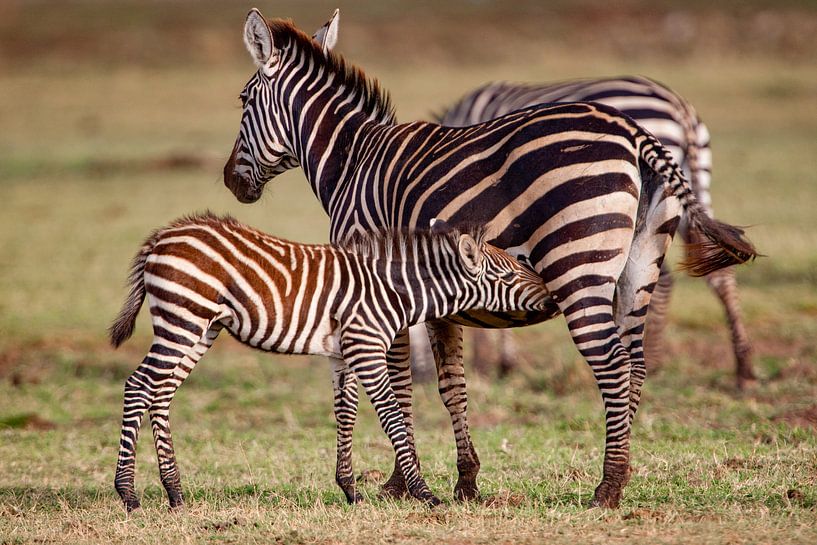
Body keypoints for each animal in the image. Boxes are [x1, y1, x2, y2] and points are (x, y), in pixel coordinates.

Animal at [109, 212, 551, 510]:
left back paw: (175, 493)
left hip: (200, 328)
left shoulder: (342, 352)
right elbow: (392, 416)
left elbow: (346, 412)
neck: (392, 290)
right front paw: (424, 493)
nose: (550, 297)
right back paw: (128, 494)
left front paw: (350, 489)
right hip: (182, 319)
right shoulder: (367, 347)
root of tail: (163, 236)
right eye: (509, 277)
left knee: (161, 393)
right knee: (139, 386)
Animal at [439, 77, 756, 387]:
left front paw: (491, 362)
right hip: (685, 189)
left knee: (662, 282)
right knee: (719, 275)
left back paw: (657, 361)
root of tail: (682, 110)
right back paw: (743, 368)